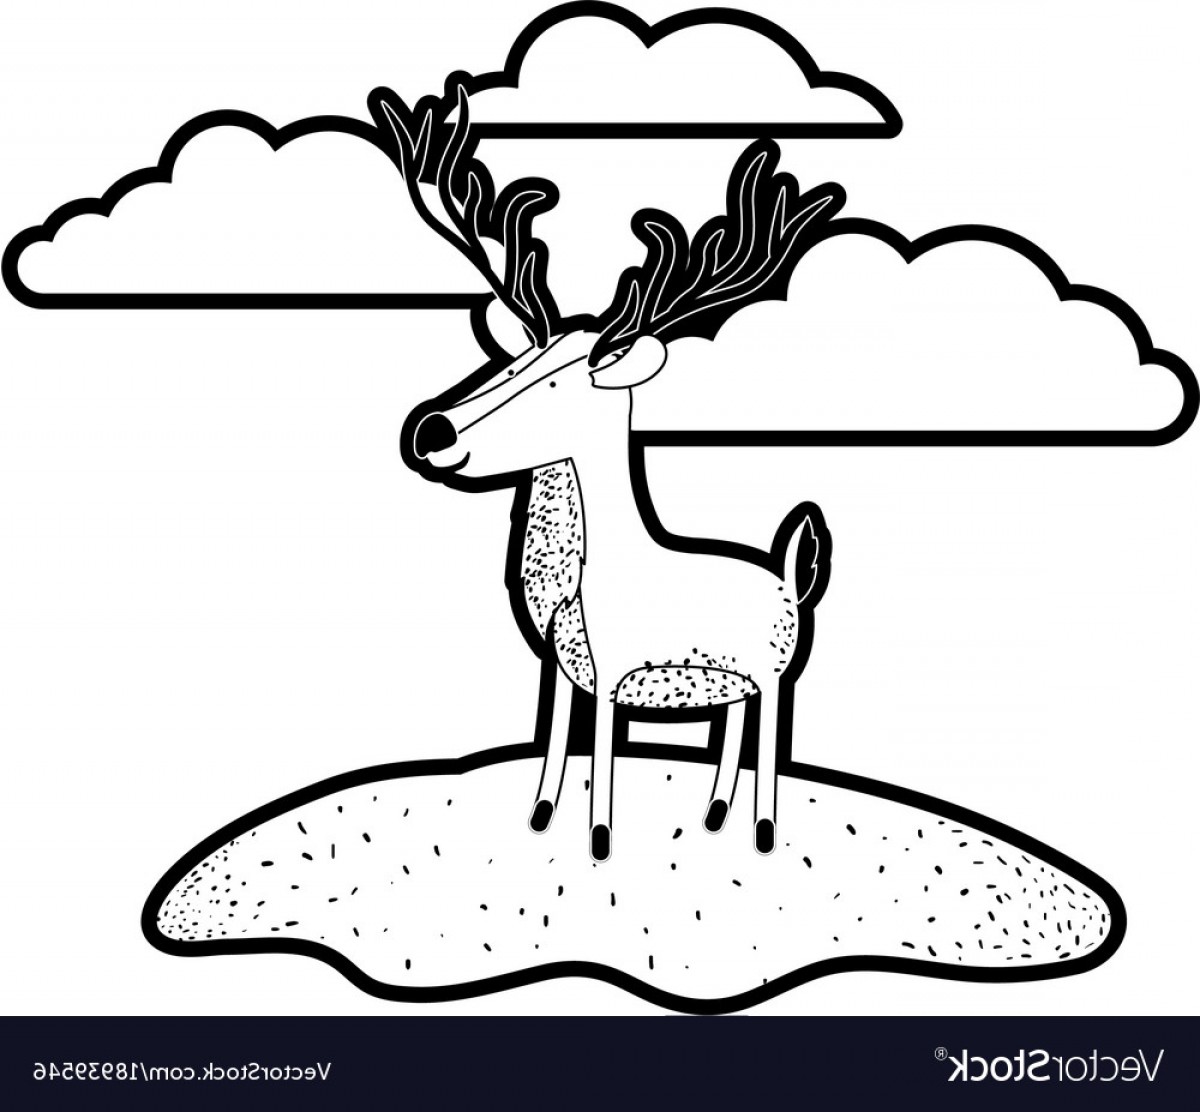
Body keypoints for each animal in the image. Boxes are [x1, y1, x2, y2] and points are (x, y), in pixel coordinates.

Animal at [370, 78, 839, 862]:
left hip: (774, 672)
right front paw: (540, 819)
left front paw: (599, 841)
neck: (582, 587)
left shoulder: (619, 674)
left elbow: (607, 752)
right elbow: (558, 742)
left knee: (771, 729)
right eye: (515, 362)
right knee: (733, 729)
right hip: (734, 681)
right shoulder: (564, 670)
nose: (432, 430)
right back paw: (715, 814)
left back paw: (763, 830)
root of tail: (792, 574)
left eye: (561, 382)